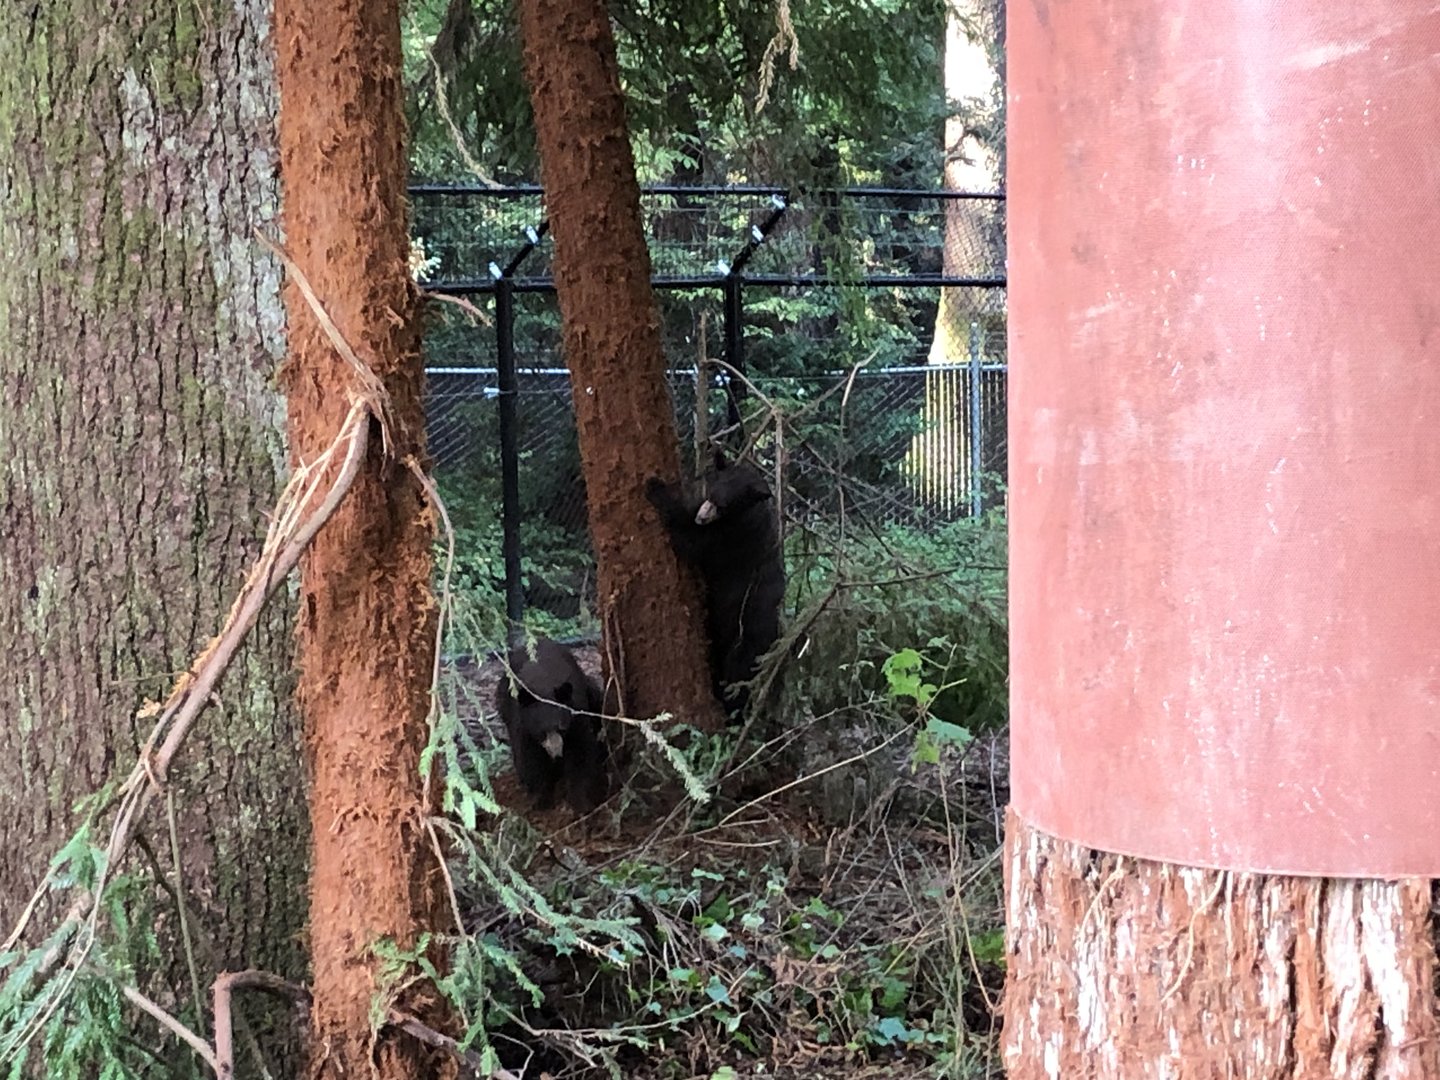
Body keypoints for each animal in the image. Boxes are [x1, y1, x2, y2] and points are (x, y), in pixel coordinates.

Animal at [494, 637, 608, 813]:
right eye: (542, 731)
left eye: (562, 727)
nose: (556, 753)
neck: (543, 686)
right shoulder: (523, 726)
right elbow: (530, 760)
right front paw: (541, 799)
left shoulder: (576, 716)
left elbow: (580, 754)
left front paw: (580, 802)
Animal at [645, 449, 785, 719]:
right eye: (710, 492)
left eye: (724, 506)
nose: (702, 517)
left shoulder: (733, 538)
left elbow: (692, 543)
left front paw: (655, 488)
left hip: (744, 639)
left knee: (737, 679)